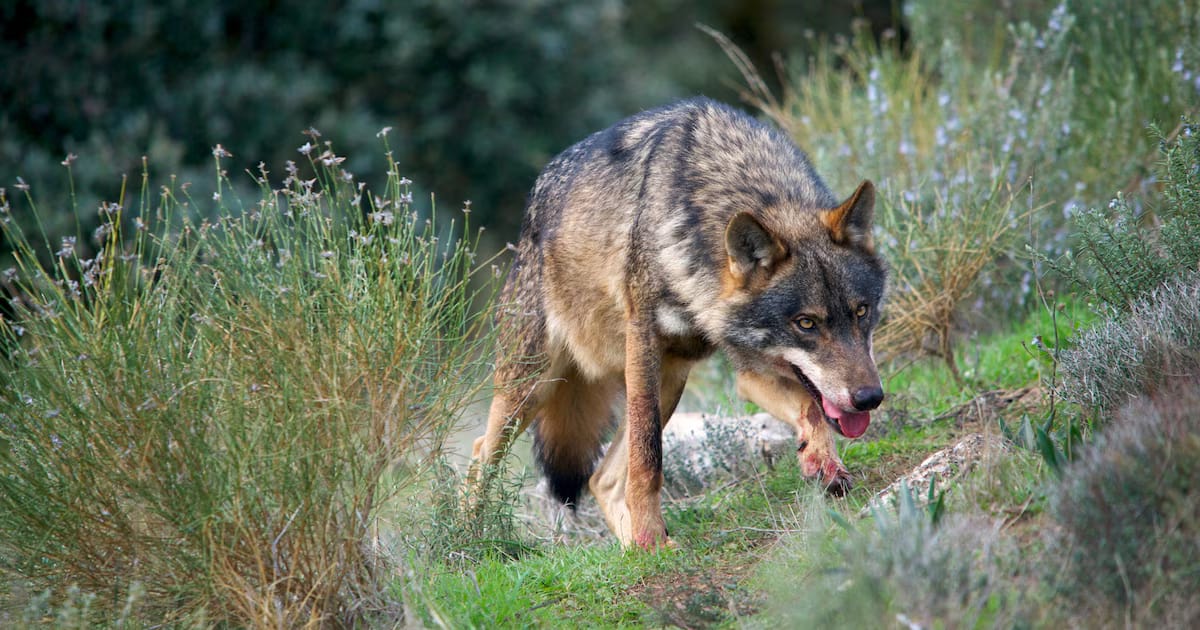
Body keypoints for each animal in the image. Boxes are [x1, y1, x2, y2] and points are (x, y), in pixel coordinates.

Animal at [469, 97, 887, 549]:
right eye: (806, 323)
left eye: (861, 311)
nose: (870, 398)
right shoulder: (644, 344)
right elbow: (648, 459)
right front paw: (651, 532)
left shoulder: (749, 369)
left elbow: (811, 408)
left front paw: (822, 463)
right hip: (533, 387)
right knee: (480, 454)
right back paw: (469, 539)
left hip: (669, 381)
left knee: (601, 480)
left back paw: (637, 550)